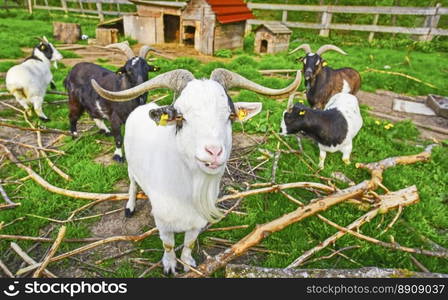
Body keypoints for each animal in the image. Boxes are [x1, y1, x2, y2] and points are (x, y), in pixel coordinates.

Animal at [90, 68, 300, 274]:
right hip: (131, 167)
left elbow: (189, 243)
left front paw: (187, 263)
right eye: (180, 116)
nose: (213, 152)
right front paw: (169, 266)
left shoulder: (197, 221)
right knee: (133, 183)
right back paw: (130, 206)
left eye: (230, 116)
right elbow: (168, 244)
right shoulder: (163, 221)